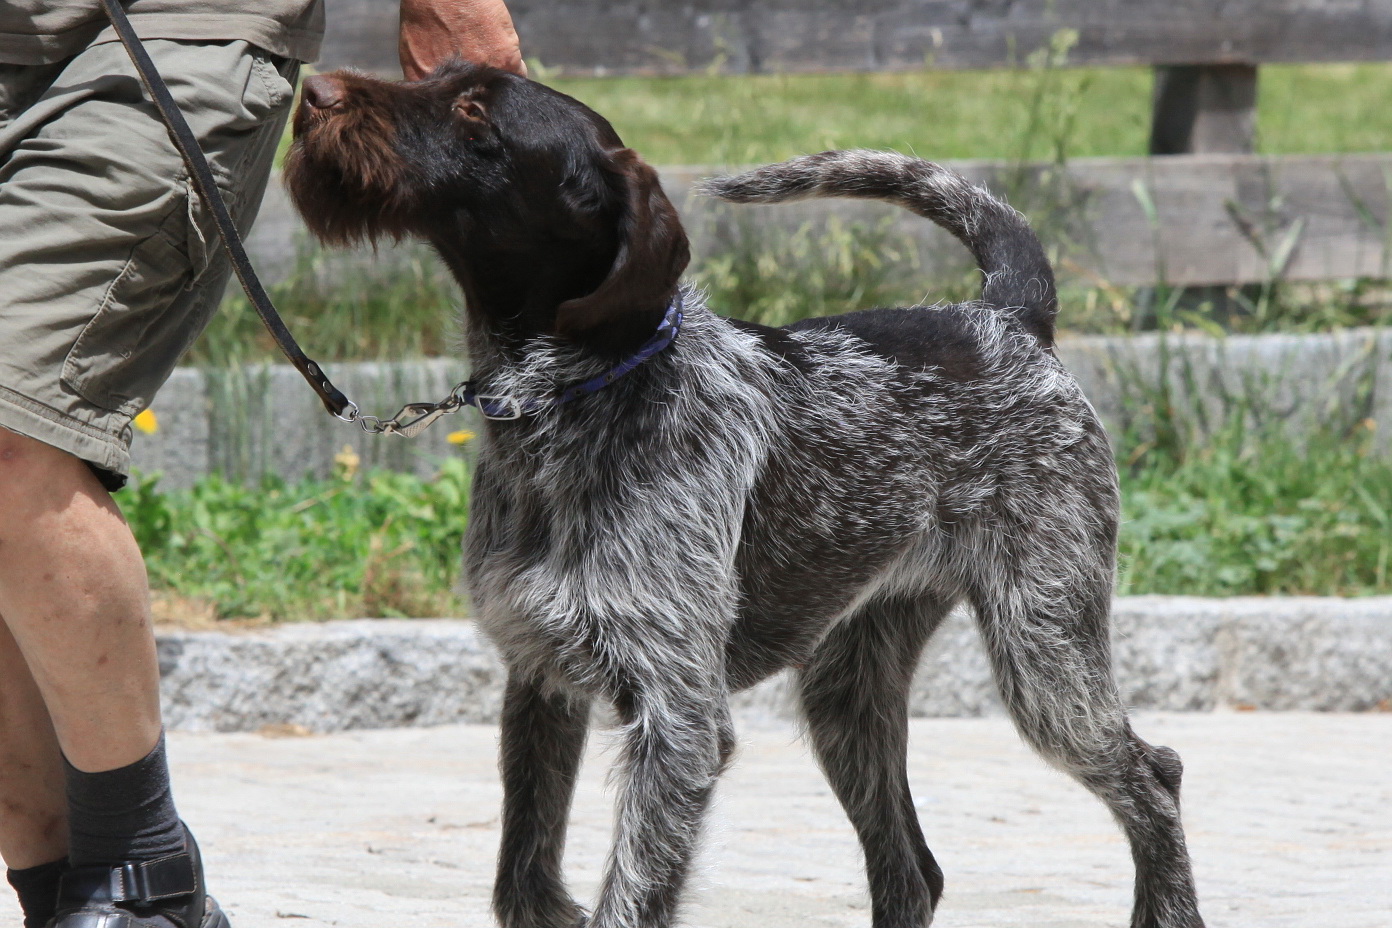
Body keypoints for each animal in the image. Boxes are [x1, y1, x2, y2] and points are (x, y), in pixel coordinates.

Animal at [285, 59, 1208, 928]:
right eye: (435, 77)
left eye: (475, 110)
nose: (314, 91)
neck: (582, 392)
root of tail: (1010, 320)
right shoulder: (540, 683)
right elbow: (525, 879)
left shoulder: (678, 722)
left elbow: (628, 894)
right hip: (849, 695)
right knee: (914, 871)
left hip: (1044, 651)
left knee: (1153, 777)